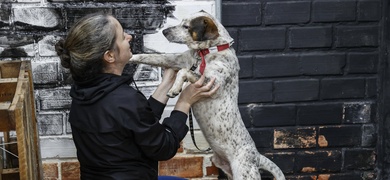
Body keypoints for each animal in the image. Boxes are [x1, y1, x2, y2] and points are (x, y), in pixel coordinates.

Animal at [129, 10, 284, 180]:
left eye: (186, 26)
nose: (164, 31)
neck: (207, 52)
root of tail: (256, 157)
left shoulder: (212, 83)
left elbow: (184, 72)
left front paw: (175, 88)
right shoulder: (177, 60)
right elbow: (150, 57)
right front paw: (130, 57)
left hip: (244, 174)